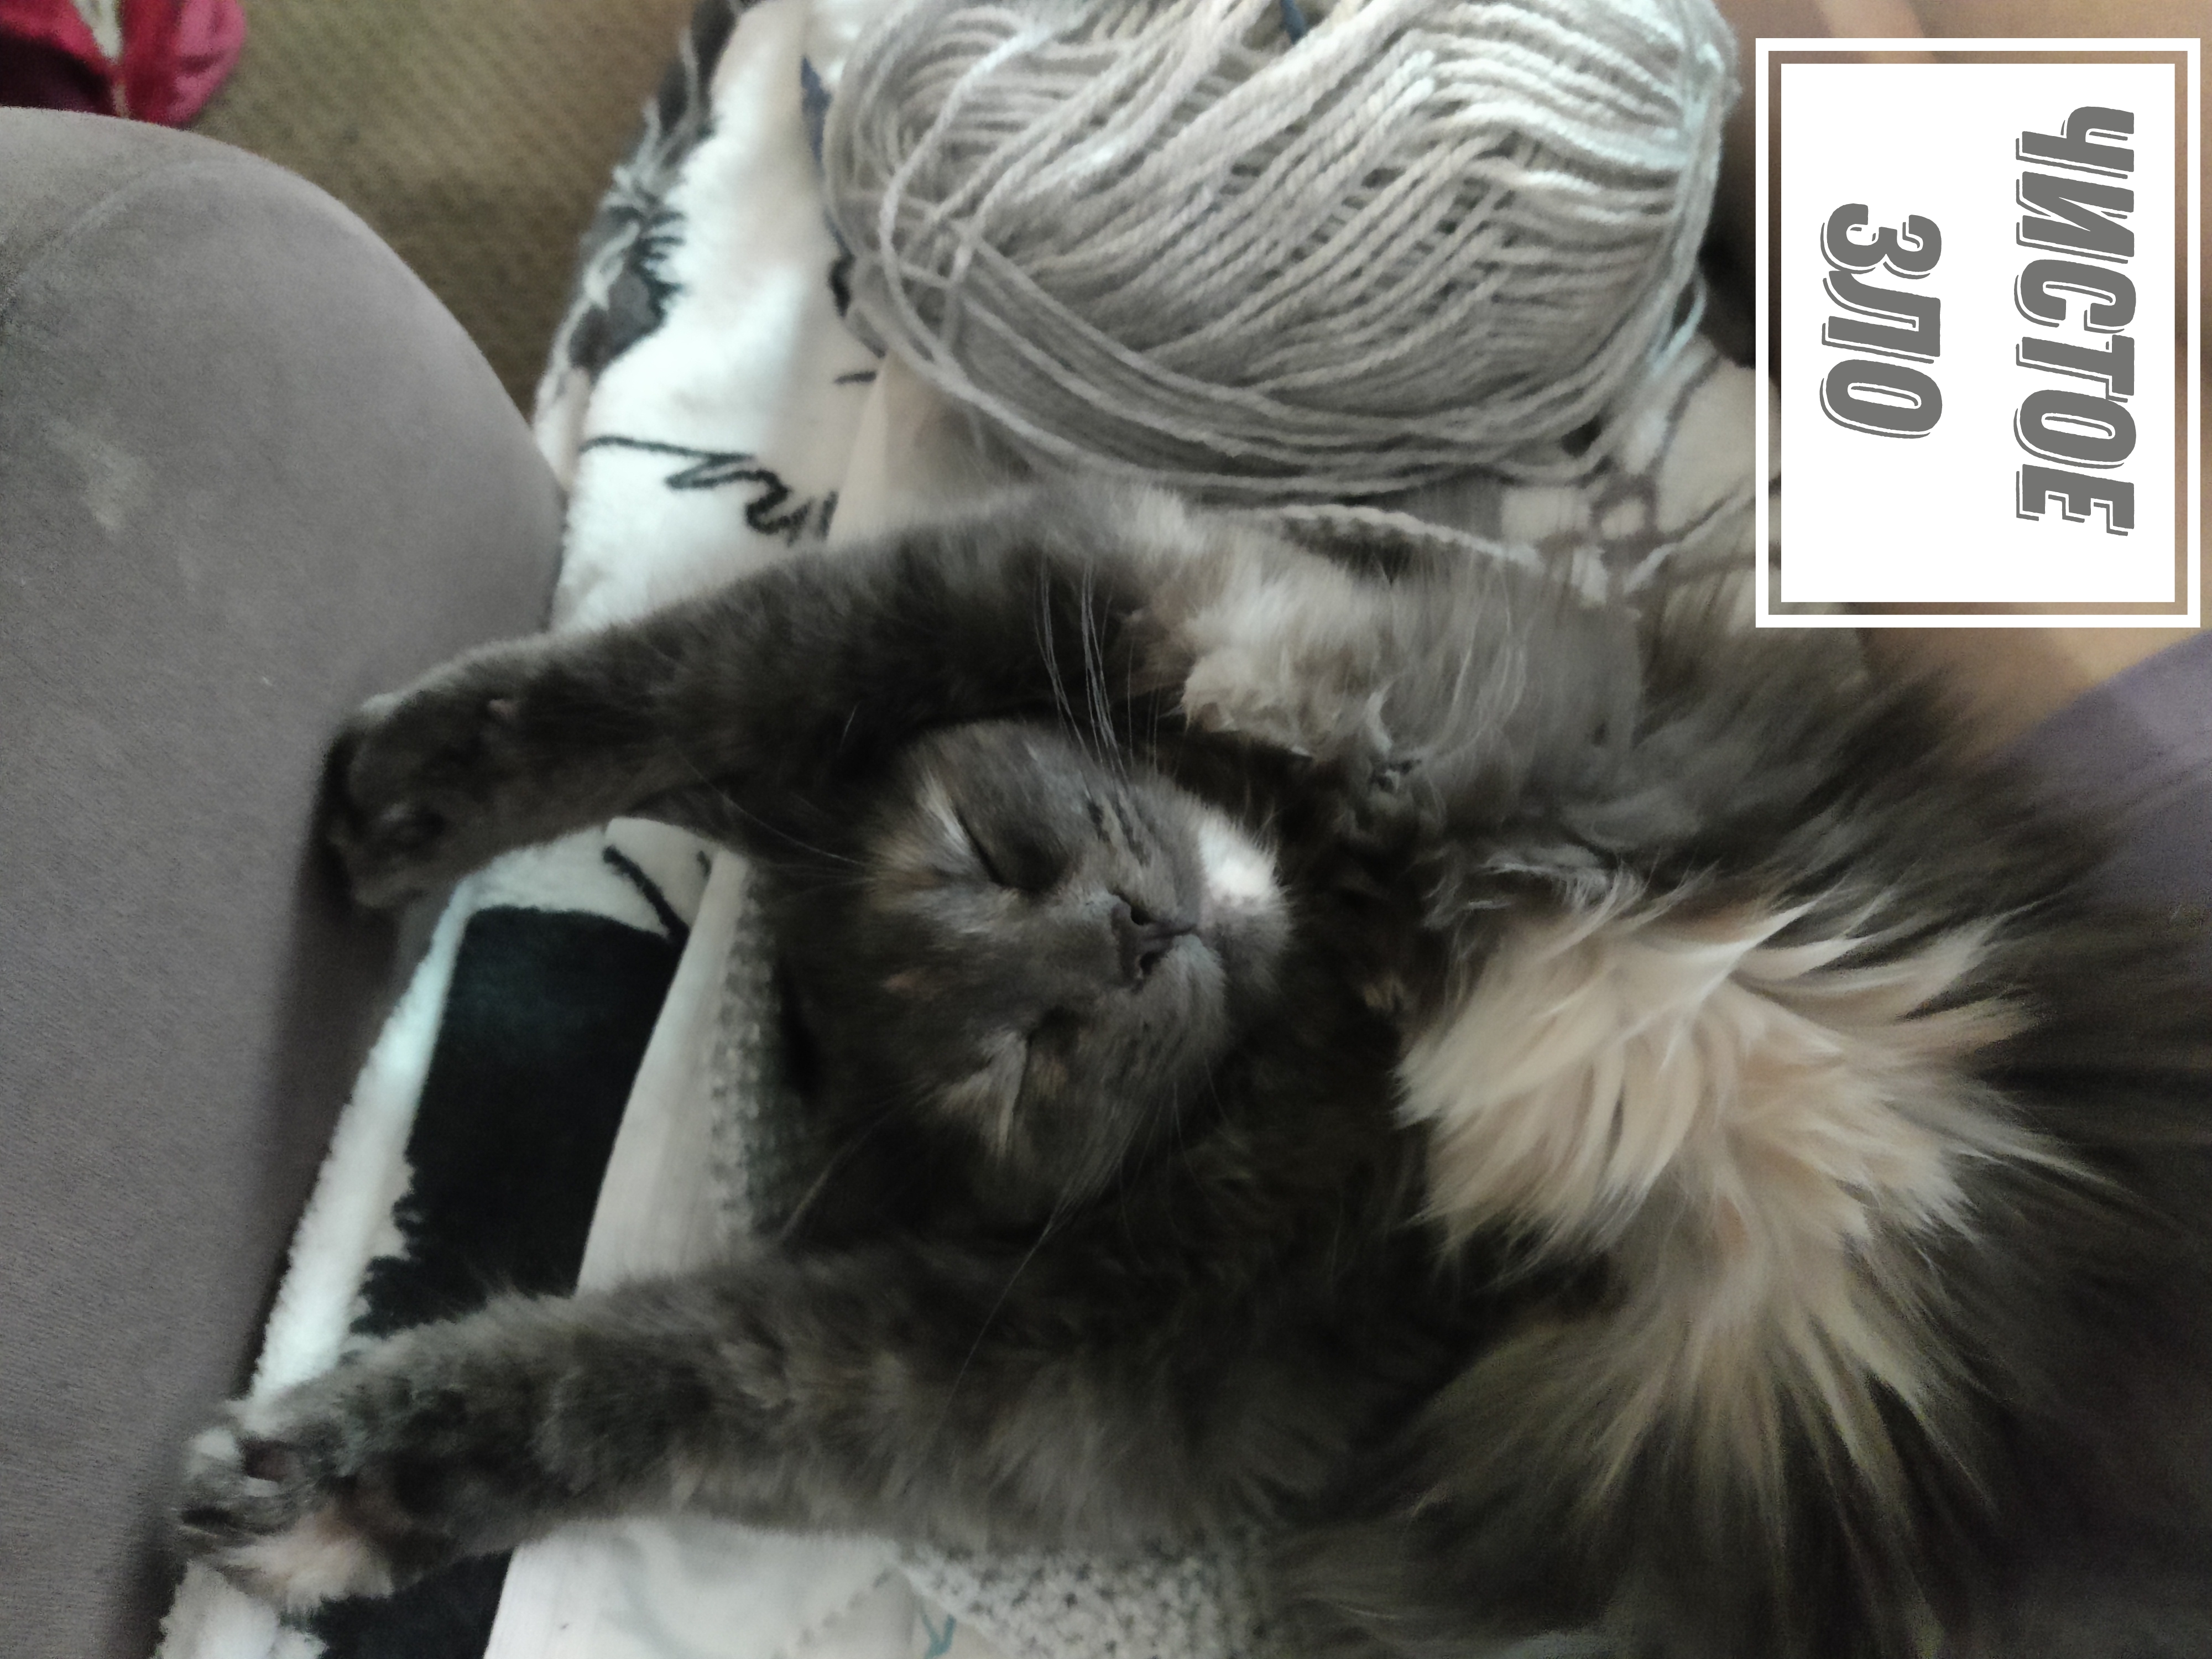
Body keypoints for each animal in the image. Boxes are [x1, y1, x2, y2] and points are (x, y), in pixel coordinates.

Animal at [177, 487, 2212, 1658]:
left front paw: (425, 779)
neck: (1336, 1044)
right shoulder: (1066, 1374)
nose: (1134, 940)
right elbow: (650, 1376)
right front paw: (330, 1491)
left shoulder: (1176, 595)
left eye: (993, 858)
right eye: (1027, 1061)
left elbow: (711, 664)